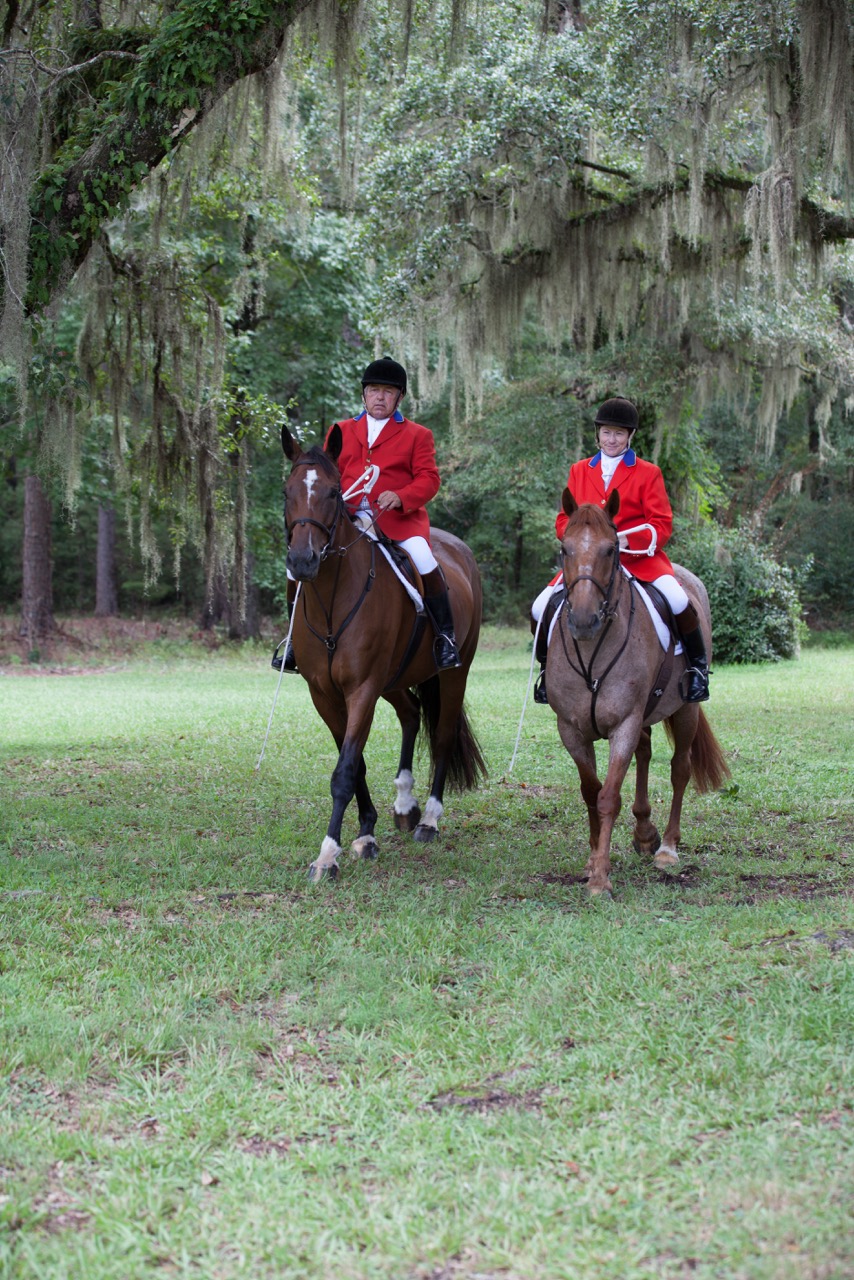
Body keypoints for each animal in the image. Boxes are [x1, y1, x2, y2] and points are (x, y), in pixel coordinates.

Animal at [280, 423, 486, 882]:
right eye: (287, 491)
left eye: (334, 492)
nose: (302, 562)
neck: (332, 598)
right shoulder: (324, 693)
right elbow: (353, 763)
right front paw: (365, 833)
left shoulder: (361, 689)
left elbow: (344, 770)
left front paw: (328, 855)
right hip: (394, 678)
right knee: (411, 713)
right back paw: (405, 804)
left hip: (452, 673)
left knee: (442, 734)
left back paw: (428, 819)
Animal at [543, 487, 730, 897]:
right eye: (564, 548)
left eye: (612, 548)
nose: (583, 621)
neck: (591, 654)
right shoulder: (570, 729)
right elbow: (590, 791)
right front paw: (593, 860)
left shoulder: (624, 725)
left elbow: (608, 796)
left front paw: (600, 878)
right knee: (645, 754)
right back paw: (644, 832)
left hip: (686, 709)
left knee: (680, 769)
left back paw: (667, 848)